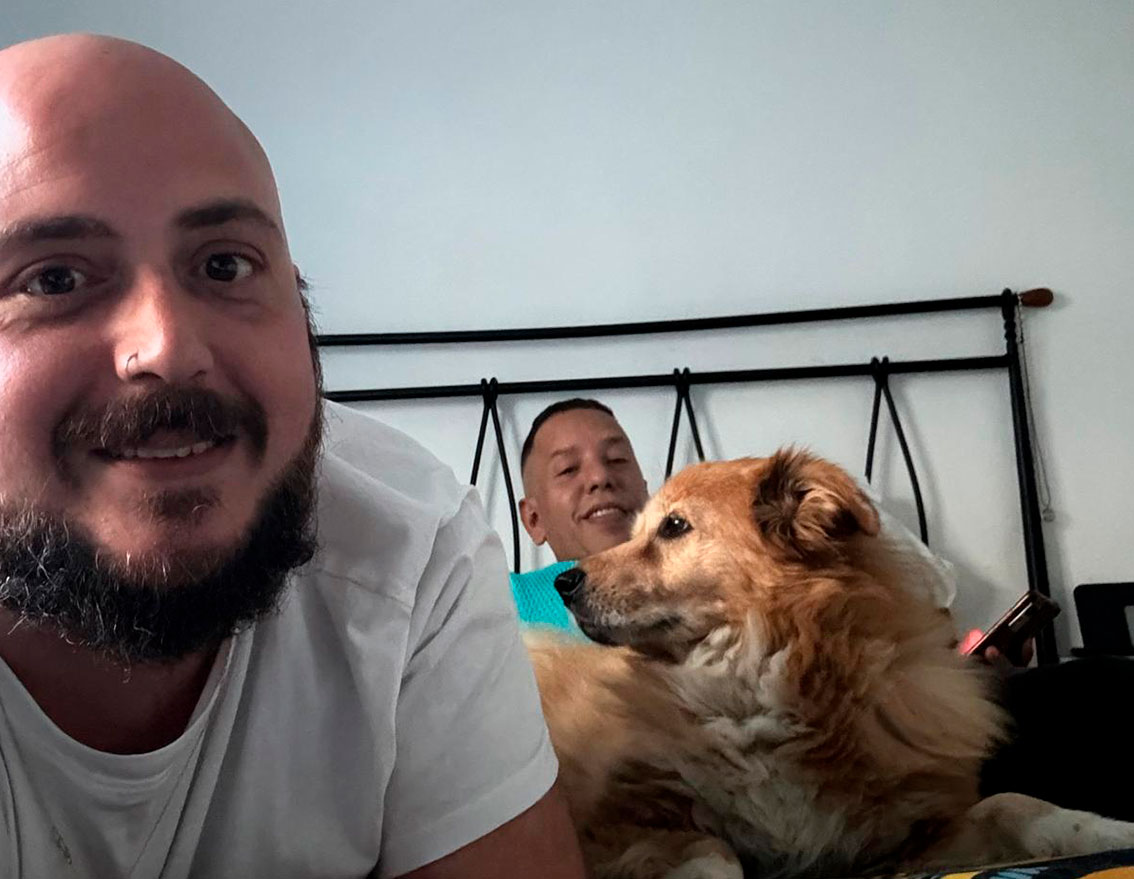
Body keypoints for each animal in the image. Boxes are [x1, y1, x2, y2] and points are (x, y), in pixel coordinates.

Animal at [528, 449, 1134, 879]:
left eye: (674, 527)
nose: (564, 582)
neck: (749, 683)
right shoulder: (609, 829)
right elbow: (716, 852)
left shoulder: (904, 838)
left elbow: (1011, 804)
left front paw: (1107, 830)